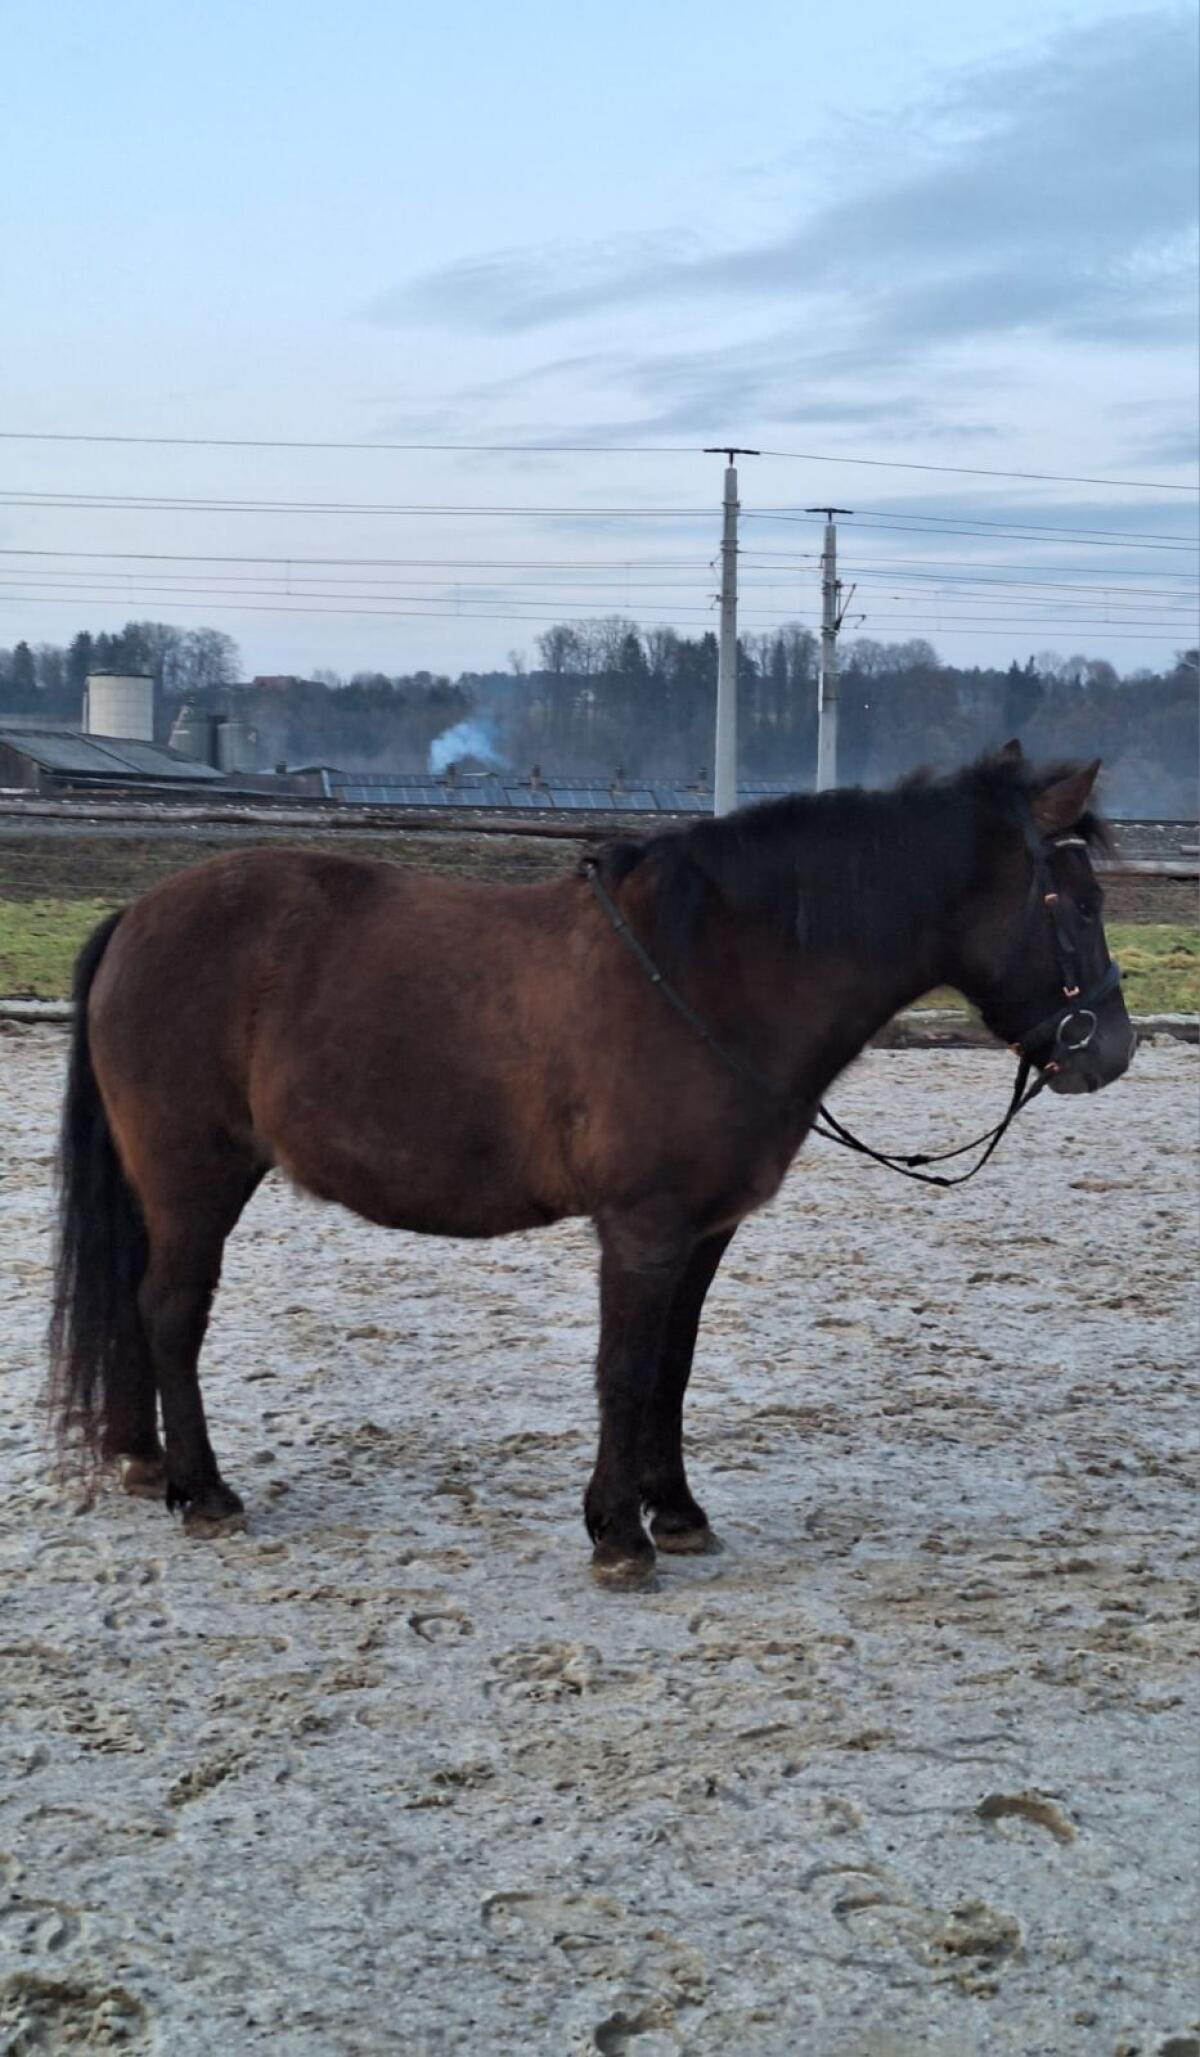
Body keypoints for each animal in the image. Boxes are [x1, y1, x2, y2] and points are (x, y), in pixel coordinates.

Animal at [47, 744, 1135, 1588]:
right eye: (1076, 901)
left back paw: (145, 1460)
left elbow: (671, 1370)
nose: (1111, 1052)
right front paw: (618, 1533)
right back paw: (202, 1489)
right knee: (171, 1311)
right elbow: (623, 1369)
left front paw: (676, 1511)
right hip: (196, 1178)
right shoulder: (643, 1229)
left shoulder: (702, 1232)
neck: (712, 970)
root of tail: (136, 915)